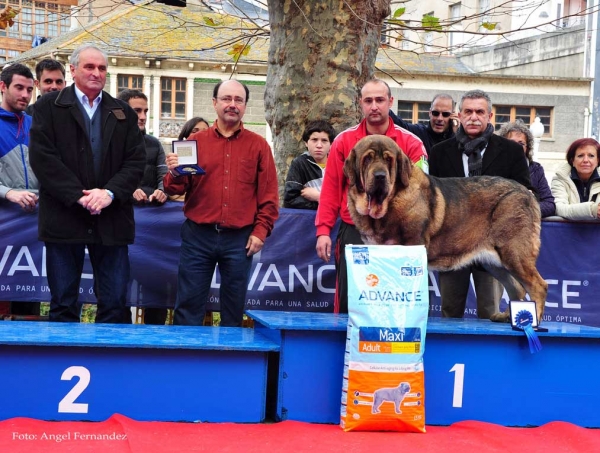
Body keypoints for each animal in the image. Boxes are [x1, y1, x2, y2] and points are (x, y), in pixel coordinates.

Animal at [342, 134, 548, 322]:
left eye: (388, 160)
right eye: (367, 159)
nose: (380, 176)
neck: (390, 202)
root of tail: (527, 192)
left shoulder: (412, 246)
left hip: (514, 253)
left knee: (538, 286)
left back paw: (533, 319)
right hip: (494, 263)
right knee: (517, 288)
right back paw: (507, 317)